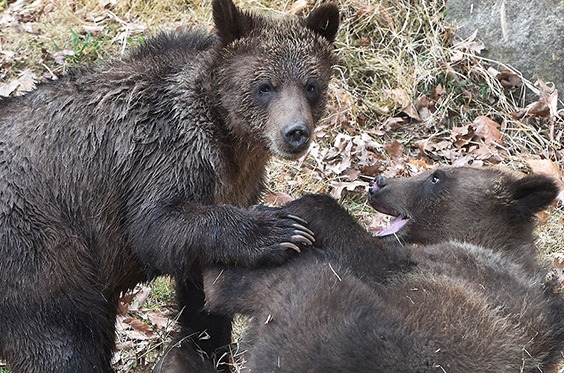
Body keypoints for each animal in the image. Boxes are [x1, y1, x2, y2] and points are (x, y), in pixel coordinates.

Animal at [0, 1, 340, 370]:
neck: (230, 141)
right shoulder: (161, 156)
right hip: (40, 244)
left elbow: (203, 291)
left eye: (311, 85)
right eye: (265, 85)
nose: (295, 132)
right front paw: (283, 231)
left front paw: (209, 347)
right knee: (62, 335)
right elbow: (157, 226)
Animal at [204, 166, 564, 372]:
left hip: (339, 324)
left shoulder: (454, 270)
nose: (378, 182)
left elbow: (372, 257)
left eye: (436, 176)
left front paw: (289, 214)